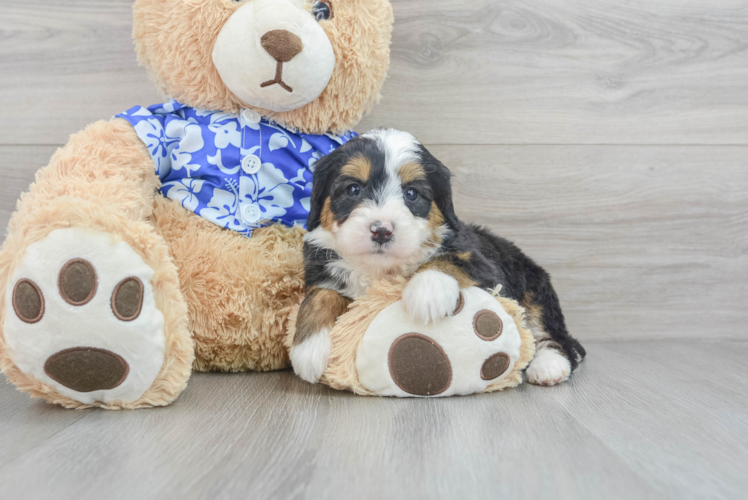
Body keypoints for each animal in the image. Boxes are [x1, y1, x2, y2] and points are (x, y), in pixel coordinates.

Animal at [290, 130, 588, 386]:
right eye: (353, 189)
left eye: (411, 193)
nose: (382, 231)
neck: (381, 270)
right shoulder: (319, 265)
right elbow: (319, 296)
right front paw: (309, 349)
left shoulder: (484, 266)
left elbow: (447, 259)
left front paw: (427, 293)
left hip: (536, 288)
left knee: (552, 335)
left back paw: (549, 366)